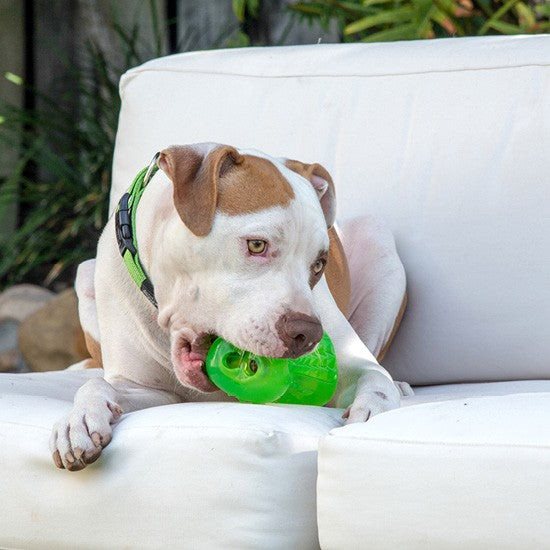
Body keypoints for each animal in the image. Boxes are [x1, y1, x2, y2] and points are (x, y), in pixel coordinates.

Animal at [51, 144, 412, 472]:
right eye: (257, 245)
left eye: (319, 264)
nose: (307, 334)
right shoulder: (148, 390)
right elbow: (98, 384)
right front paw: (79, 420)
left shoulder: (353, 361)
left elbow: (374, 378)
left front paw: (374, 416)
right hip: (85, 274)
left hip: (377, 240)